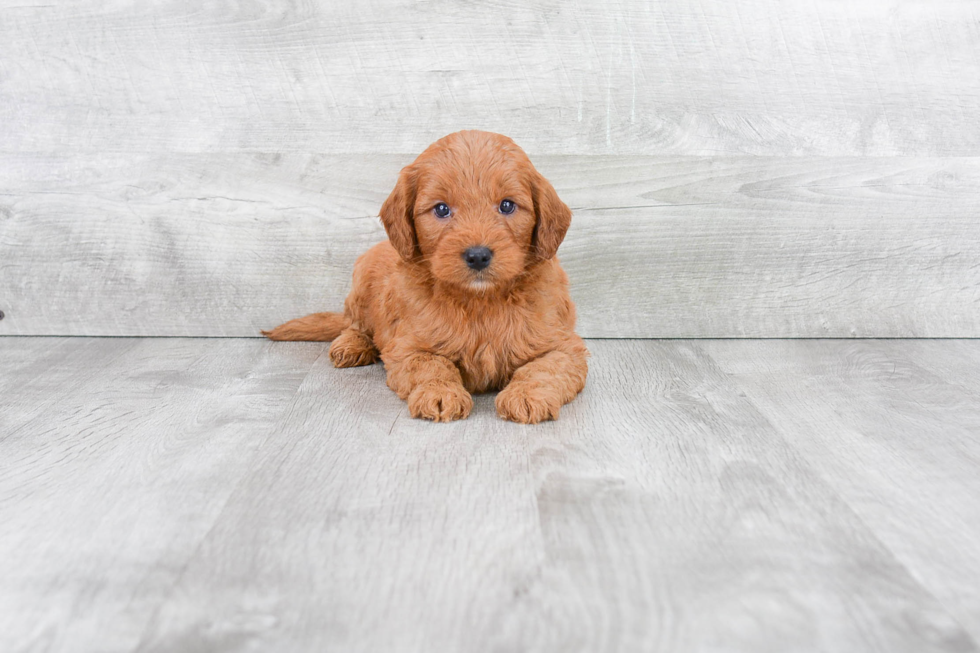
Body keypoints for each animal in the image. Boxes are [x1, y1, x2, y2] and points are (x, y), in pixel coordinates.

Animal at [262, 131, 588, 422]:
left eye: (507, 205)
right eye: (441, 209)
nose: (478, 255)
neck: (480, 301)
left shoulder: (564, 345)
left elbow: (543, 369)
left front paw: (527, 395)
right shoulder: (407, 346)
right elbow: (431, 365)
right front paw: (440, 393)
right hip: (361, 278)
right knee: (354, 324)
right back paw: (352, 345)